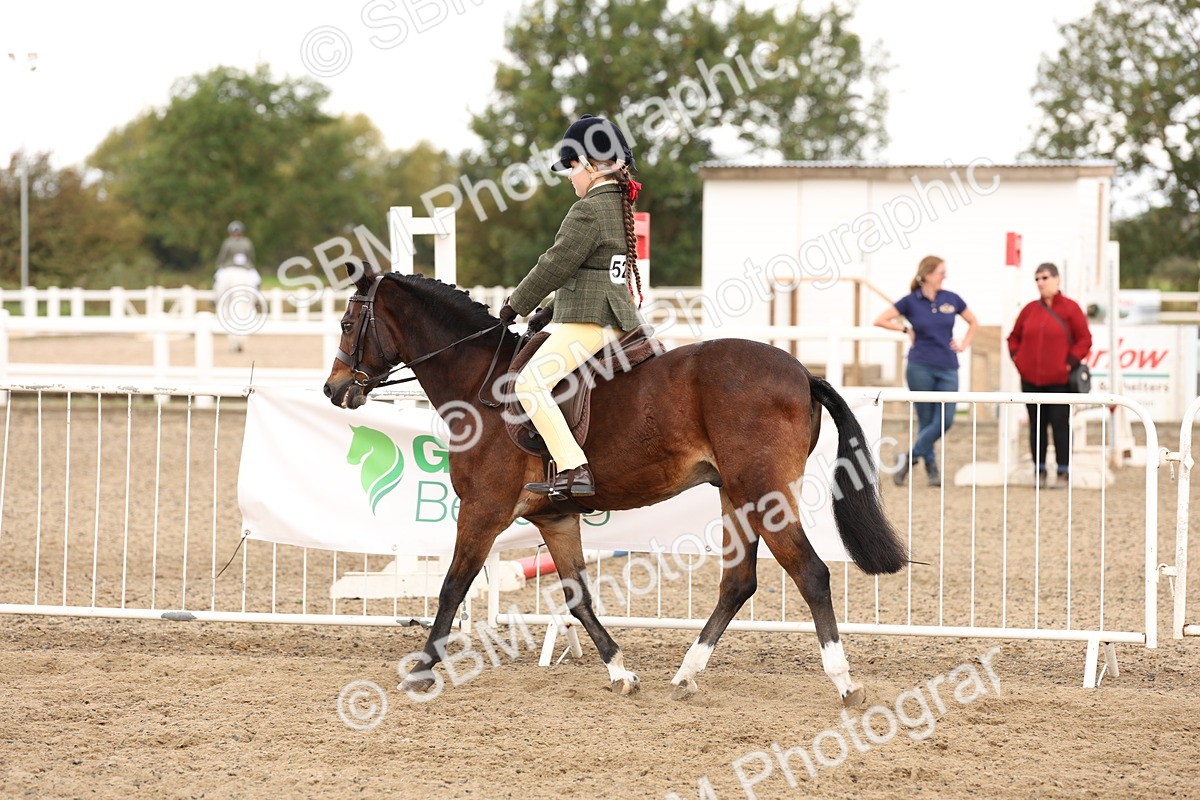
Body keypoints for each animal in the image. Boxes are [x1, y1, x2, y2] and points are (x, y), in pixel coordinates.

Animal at [322, 262, 907, 707]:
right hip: (735, 497)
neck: (478, 383)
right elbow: (578, 598)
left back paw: (844, 682)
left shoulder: (483, 511)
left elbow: (450, 588)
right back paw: (687, 674)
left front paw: (421, 670)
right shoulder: (555, 517)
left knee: (810, 574)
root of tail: (803, 373)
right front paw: (621, 672)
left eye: (349, 322)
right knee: (738, 582)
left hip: (763, 496)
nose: (333, 389)